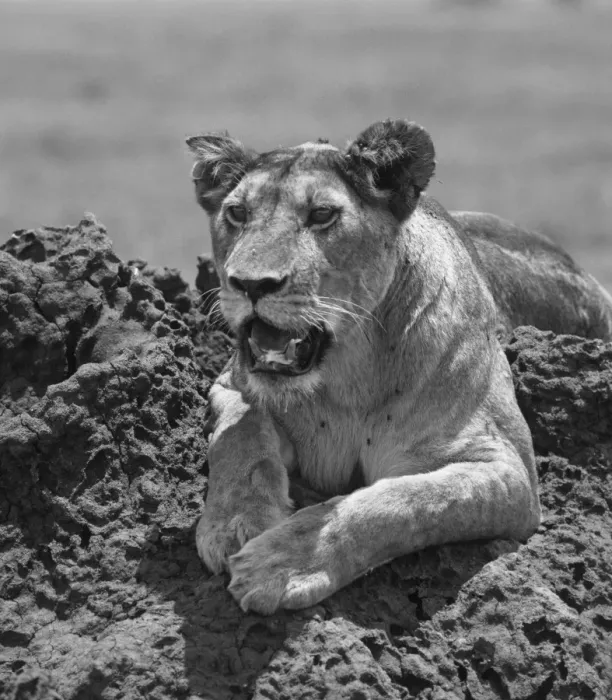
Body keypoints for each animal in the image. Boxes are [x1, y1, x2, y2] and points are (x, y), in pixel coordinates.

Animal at [186, 119, 612, 615]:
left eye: (321, 215)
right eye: (237, 213)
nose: (251, 285)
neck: (346, 378)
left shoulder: (508, 467)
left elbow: (403, 502)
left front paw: (282, 562)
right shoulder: (232, 384)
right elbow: (241, 437)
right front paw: (236, 522)